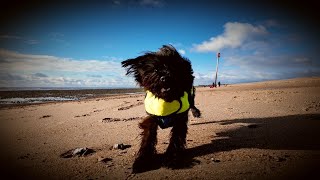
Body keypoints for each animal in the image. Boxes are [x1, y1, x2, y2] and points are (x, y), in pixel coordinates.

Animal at [122, 44, 200, 172]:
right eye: (156, 70)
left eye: (174, 68)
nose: (165, 77)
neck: (166, 100)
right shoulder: (151, 119)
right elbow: (147, 138)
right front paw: (142, 161)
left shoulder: (180, 120)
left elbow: (176, 138)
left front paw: (172, 159)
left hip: (190, 93)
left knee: (192, 103)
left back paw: (196, 112)